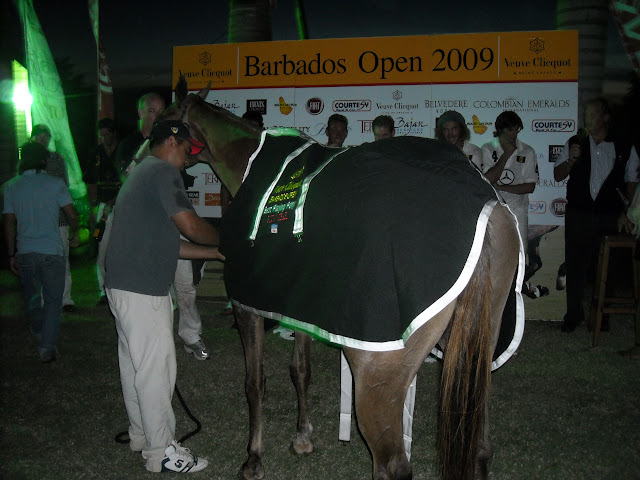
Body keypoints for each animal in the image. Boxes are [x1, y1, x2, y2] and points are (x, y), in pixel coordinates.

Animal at [160, 77, 523, 480]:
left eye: (165, 118)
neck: (251, 165)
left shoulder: (247, 305)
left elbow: (255, 383)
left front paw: (254, 458)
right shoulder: (299, 301)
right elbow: (299, 370)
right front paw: (303, 437)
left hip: (378, 377)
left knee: (392, 465)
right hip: (475, 359)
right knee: (481, 449)